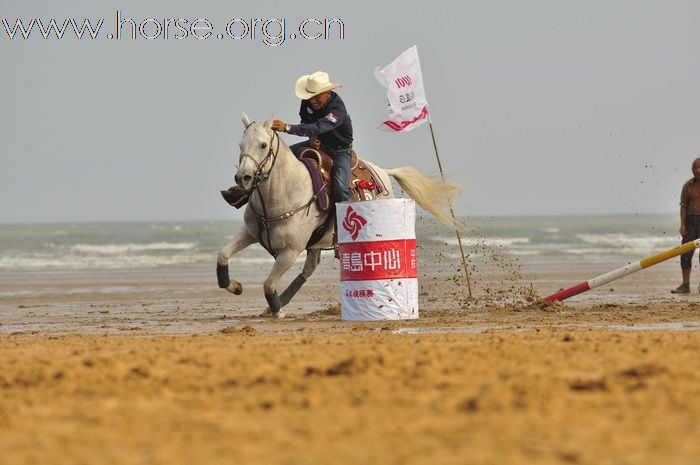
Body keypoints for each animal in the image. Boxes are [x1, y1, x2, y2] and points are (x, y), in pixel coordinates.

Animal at [219, 113, 460, 316]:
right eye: (241, 144)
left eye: (263, 145)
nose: (243, 178)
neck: (281, 194)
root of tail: (383, 171)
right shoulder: (250, 233)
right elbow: (223, 255)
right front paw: (235, 286)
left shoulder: (290, 251)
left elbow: (268, 284)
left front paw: (277, 311)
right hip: (315, 244)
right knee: (309, 268)